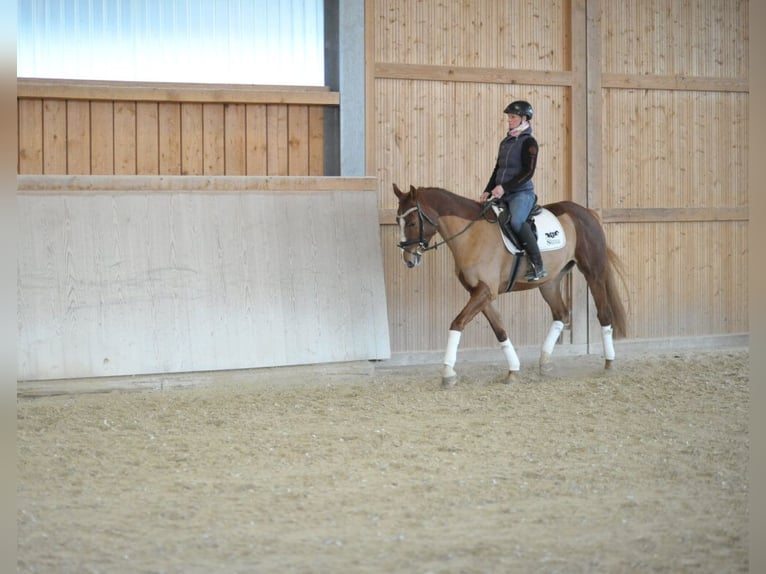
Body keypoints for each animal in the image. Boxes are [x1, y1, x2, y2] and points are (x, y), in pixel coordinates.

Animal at [392, 184, 628, 388]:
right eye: (397, 220)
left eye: (412, 222)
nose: (408, 260)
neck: (471, 234)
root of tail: (586, 212)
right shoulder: (480, 293)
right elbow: (500, 330)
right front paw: (513, 370)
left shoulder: (485, 291)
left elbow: (457, 323)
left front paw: (448, 372)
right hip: (550, 283)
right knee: (561, 314)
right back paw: (545, 362)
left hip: (593, 273)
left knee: (603, 314)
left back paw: (609, 362)